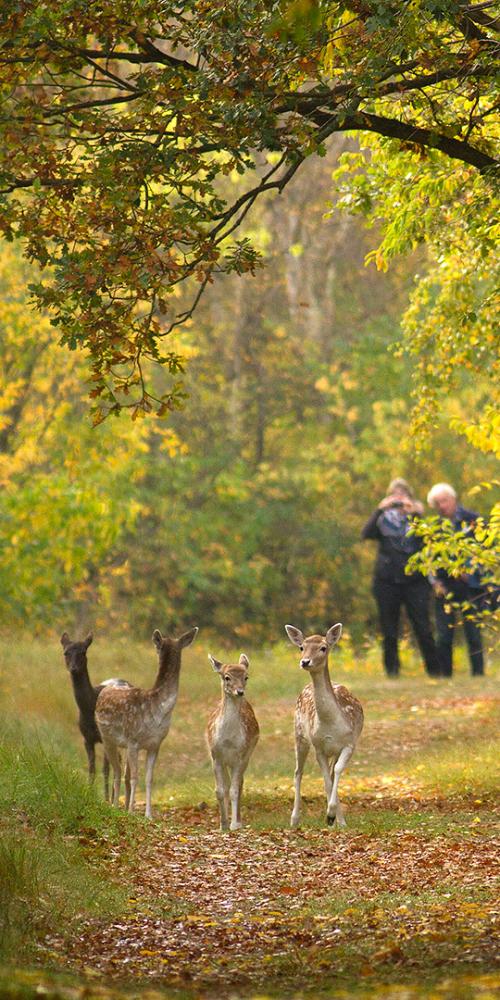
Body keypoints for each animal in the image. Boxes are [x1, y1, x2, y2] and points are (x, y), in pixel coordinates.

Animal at [60, 628, 132, 800]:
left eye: (83, 651)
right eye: (66, 652)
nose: (73, 668)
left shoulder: (105, 736)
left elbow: (105, 769)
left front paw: (105, 799)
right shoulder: (86, 738)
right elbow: (91, 769)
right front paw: (89, 794)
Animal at [94, 624, 196, 820]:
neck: (157, 708)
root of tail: (106, 688)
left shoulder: (155, 744)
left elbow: (149, 778)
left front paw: (148, 814)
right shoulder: (133, 740)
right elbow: (135, 777)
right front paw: (132, 811)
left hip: (123, 745)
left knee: (123, 773)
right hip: (107, 739)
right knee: (117, 772)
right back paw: (115, 807)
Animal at [207, 652, 262, 832]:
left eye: (246, 677)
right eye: (227, 677)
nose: (240, 692)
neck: (228, 741)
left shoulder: (240, 755)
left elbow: (234, 790)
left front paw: (234, 824)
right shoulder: (215, 756)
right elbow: (219, 791)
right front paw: (222, 824)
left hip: (247, 755)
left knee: (239, 784)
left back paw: (239, 820)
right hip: (226, 761)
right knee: (228, 785)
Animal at [286, 624, 364, 828]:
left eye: (323, 647)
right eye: (301, 647)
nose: (305, 661)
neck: (331, 725)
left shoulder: (349, 743)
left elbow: (335, 773)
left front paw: (335, 818)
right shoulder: (319, 747)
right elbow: (327, 781)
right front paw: (330, 816)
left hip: (332, 750)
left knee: (330, 772)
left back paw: (339, 820)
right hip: (299, 734)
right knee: (298, 772)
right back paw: (294, 819)